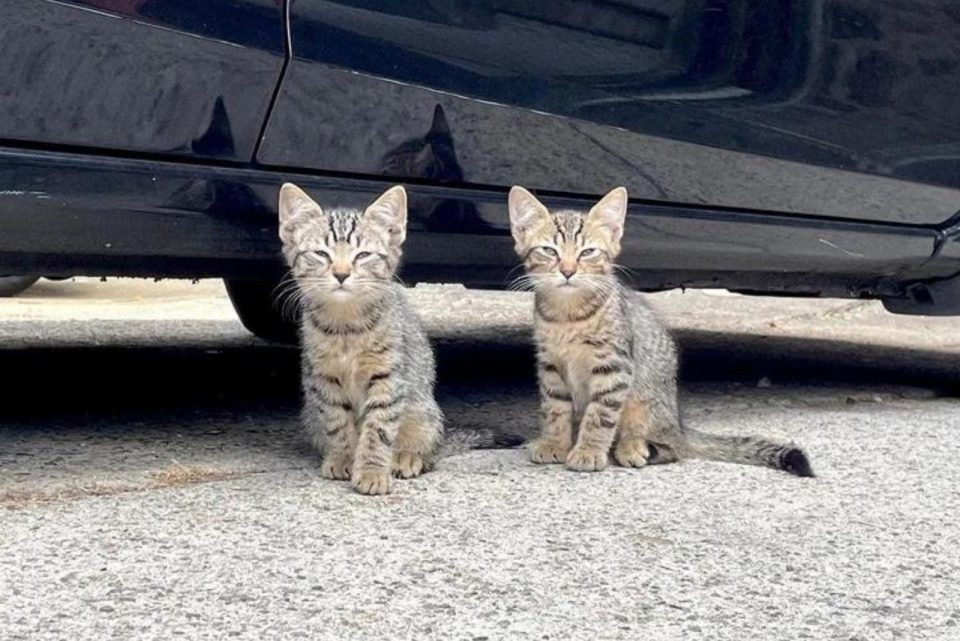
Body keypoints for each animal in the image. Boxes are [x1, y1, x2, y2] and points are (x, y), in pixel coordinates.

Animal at [278, 182, 442, 492]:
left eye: (363, 255)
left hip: (423, 410)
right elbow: (337, 422)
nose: (341, 274)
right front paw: (344, 457)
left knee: (429, 443)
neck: (346, 328)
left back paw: (407, 456)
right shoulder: (323, 378)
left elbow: (378, 428)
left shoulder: (388, 378)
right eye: (321, 254)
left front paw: (372, 471)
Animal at [506, 185, 812, 476]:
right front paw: (554, 443)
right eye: (549, 251)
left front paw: (589, 451)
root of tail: (678, 424)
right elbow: (555, 410)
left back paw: (633, 447)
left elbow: (600, 415)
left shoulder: (614, 367)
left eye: (588, 252)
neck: (567, 314)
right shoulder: (550, 366)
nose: (568, 271)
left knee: (670, 448)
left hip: (644, 402)